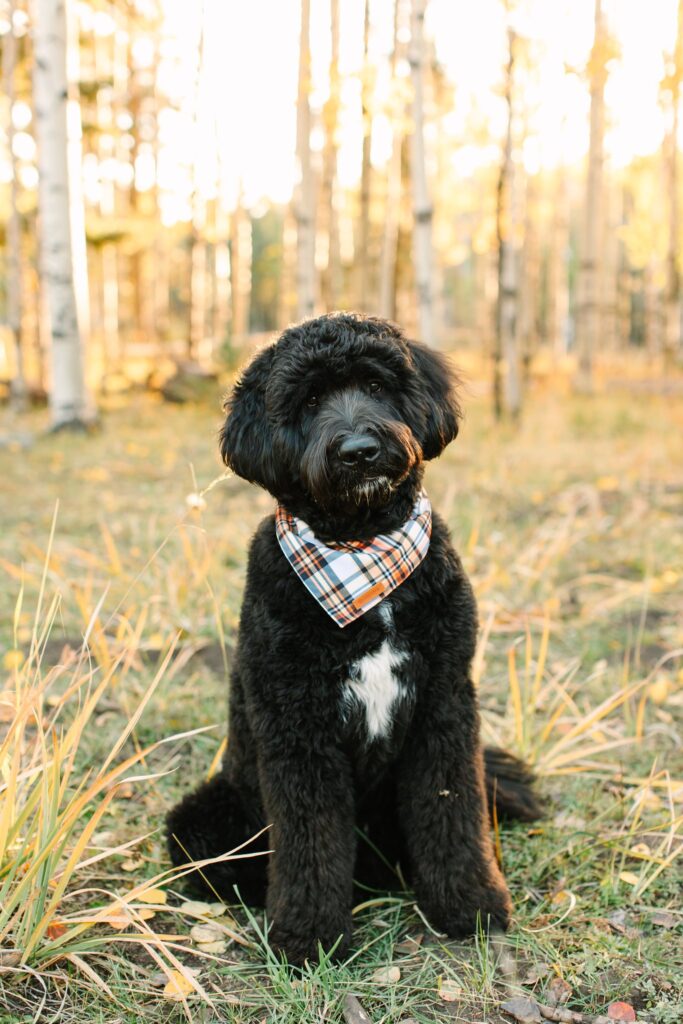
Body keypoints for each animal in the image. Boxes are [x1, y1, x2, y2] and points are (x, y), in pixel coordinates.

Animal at [166, 309, 540, 958]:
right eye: (310, 400)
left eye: (374, 384)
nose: (360, 451)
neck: (362, 551)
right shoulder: (297, 725)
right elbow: (310, 837)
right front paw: (310, 935)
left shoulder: (444, 708)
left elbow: (453, 812)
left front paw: (468, 904)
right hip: (205, 819)